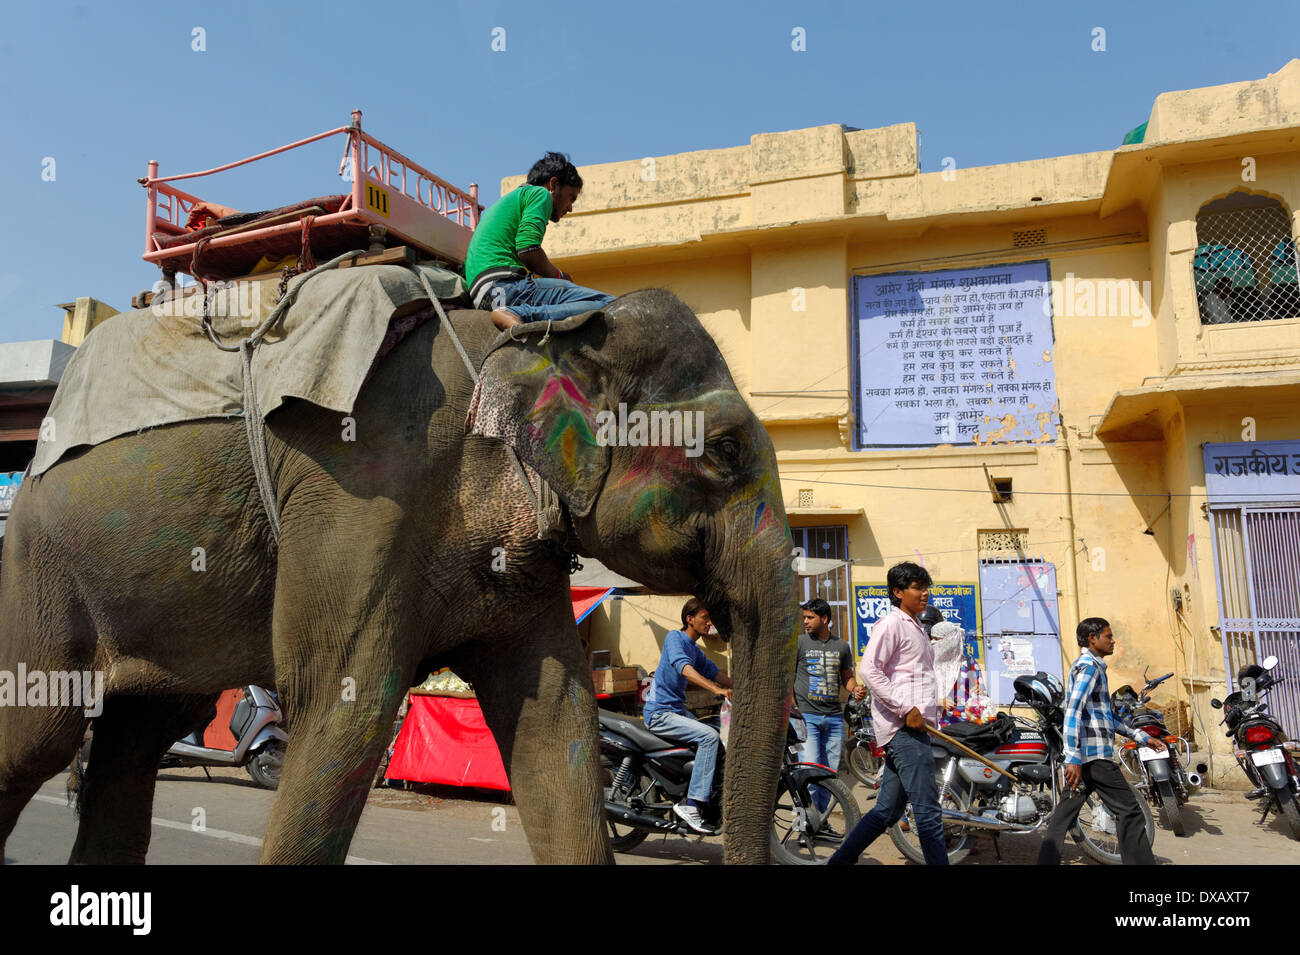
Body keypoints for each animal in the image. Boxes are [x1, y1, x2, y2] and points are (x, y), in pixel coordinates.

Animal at [0, 289, 795, 867]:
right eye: (725, 451)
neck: (544, 342)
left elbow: (557, 720)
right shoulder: (362, 493)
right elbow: (342, 707)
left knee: (136, 740)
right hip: (38, 565)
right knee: (40, 732)